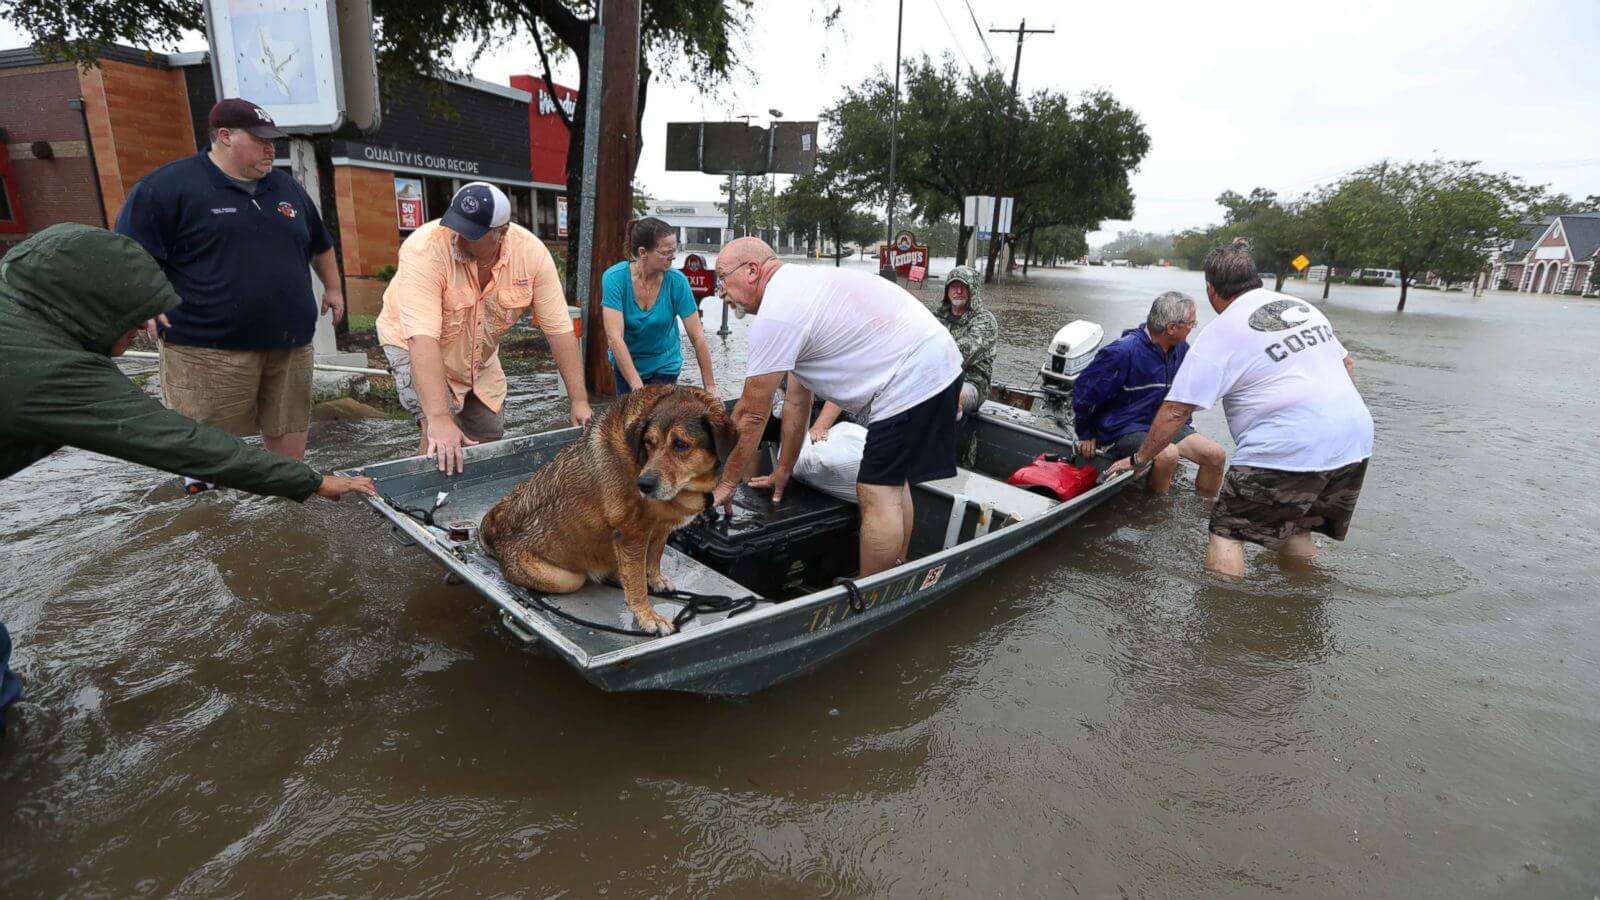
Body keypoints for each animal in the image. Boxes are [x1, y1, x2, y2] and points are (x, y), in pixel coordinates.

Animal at [480, 381, 736, 634]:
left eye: (681, 445)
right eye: (649, 442)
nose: (644, 484)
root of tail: (496, 538)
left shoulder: (660, 527)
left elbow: (655, 555)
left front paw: (655, 579)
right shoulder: (631, 534)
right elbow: (636, 583)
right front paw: (647, 616)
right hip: (566, 579)